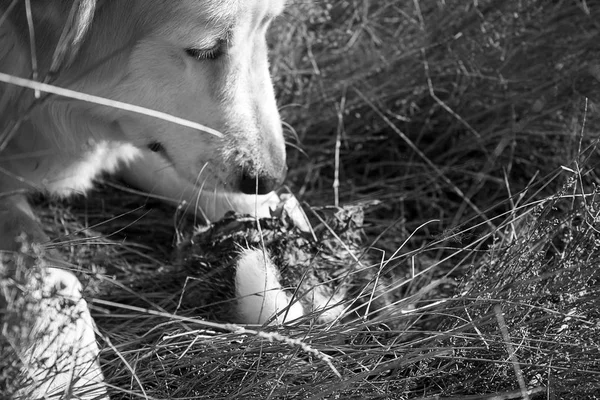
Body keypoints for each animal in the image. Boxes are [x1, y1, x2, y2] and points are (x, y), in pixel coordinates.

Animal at [0, 0, 302, 396]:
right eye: (205, 49)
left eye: (268, 26)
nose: (269, 179)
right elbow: (44, 270)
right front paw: (62, 374)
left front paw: (269, 214)